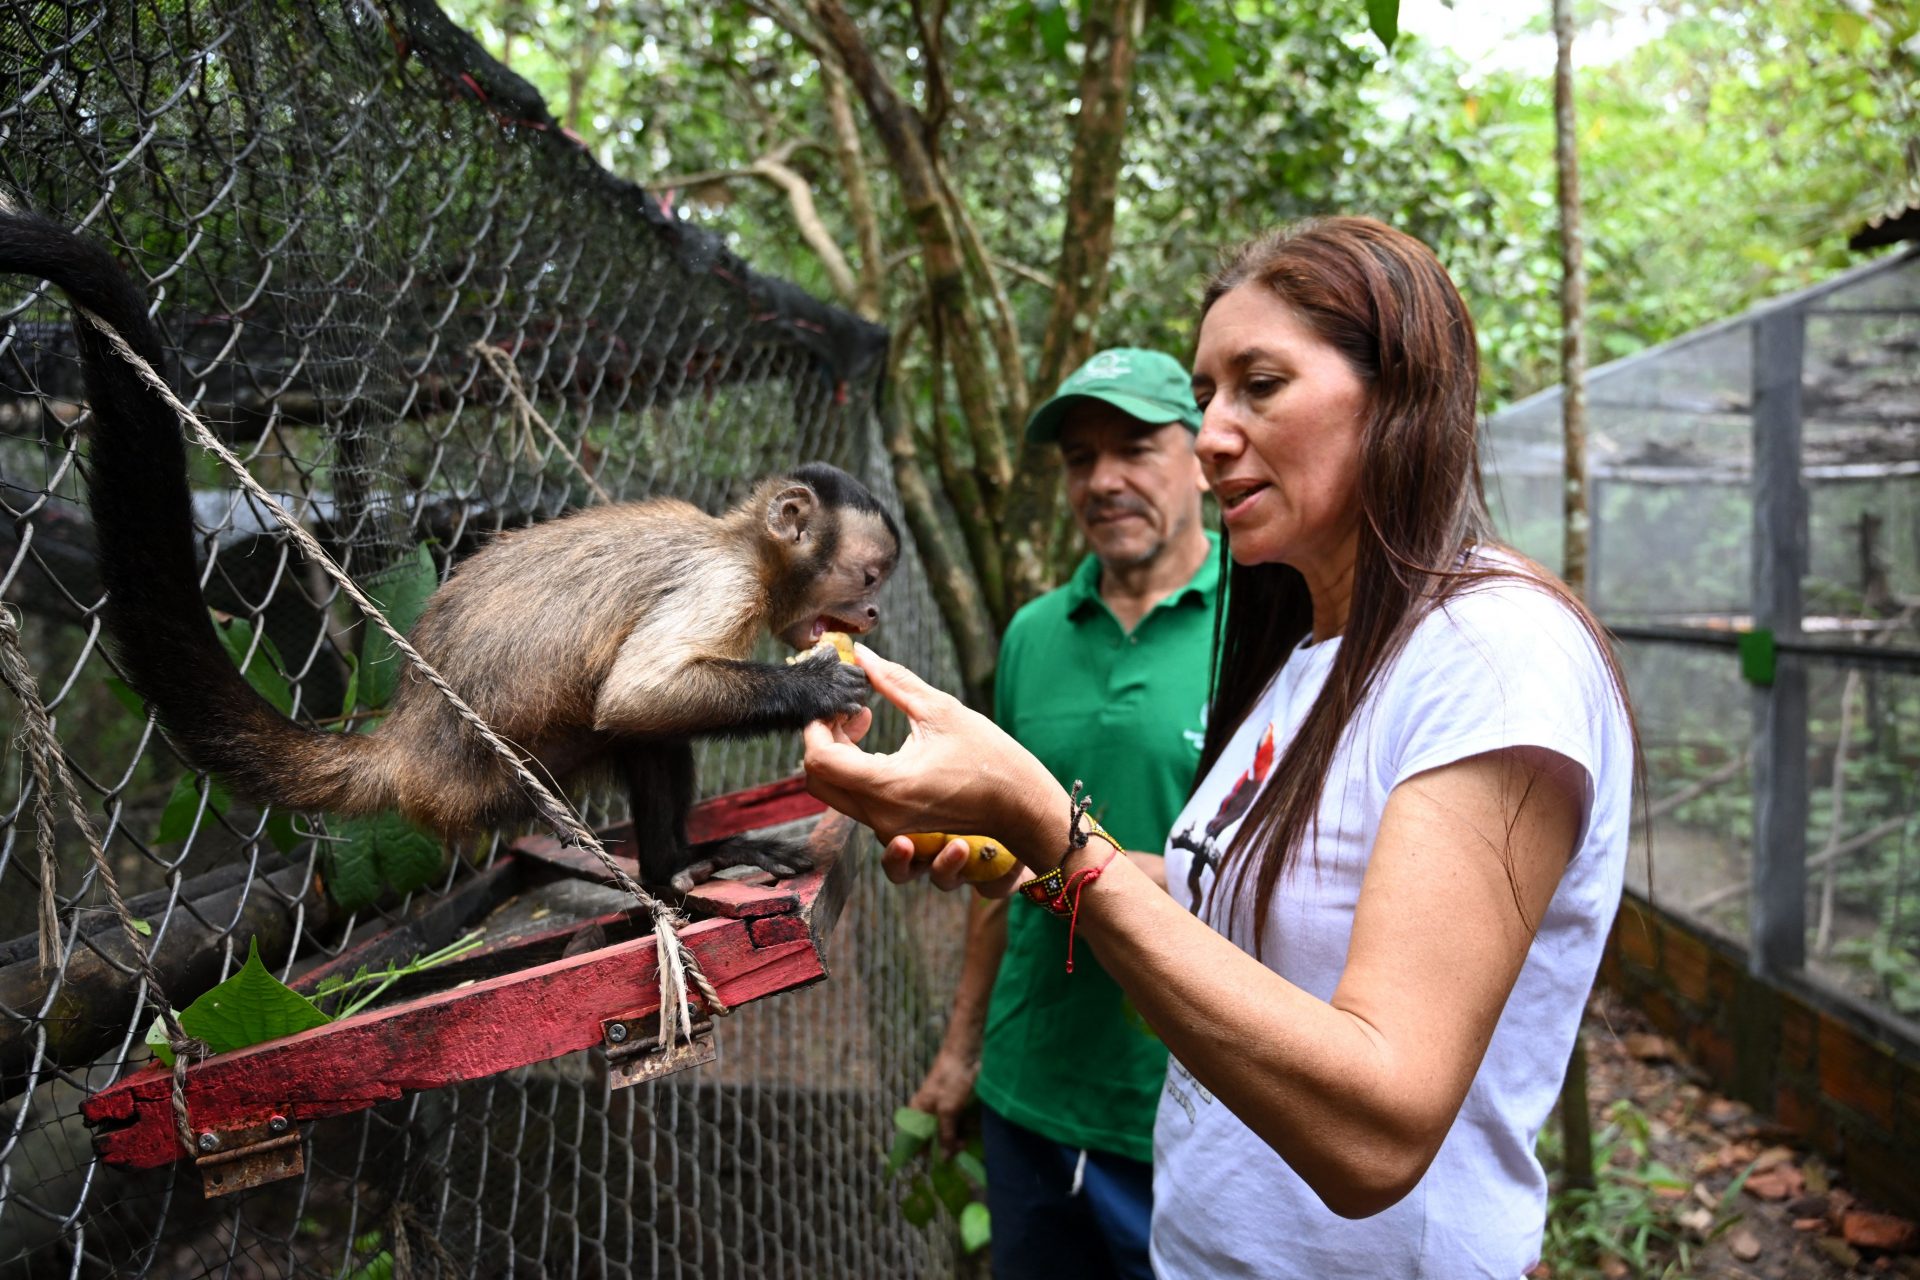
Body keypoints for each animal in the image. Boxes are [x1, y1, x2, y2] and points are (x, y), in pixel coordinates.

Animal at [1, 210, 898, 890]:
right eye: (869, 575)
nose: (874, 613)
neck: (741, 540)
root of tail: (406, 747)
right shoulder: (727, 577)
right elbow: (640, 694)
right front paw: (819, 687)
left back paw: (675, 863)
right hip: (499, 780)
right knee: (632, 722)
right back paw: (664, 866)